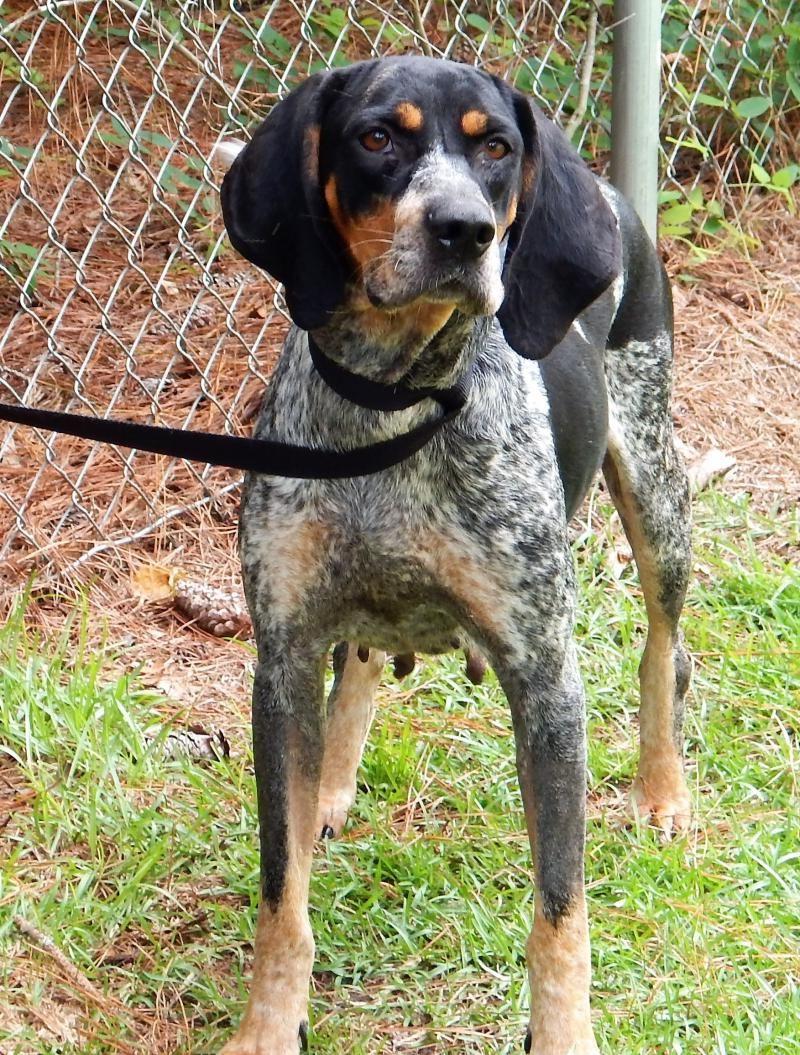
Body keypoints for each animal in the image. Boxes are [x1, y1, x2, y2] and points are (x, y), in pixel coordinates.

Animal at [219, 55, 696, 1055]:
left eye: (496, 147)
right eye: (376, 137)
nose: (466, 230)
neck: (391, 408)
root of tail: (607, 189)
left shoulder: (546, 682)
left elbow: (561, 914)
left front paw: (565, 1037)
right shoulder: (281, 662)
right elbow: (283, 899)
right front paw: (266, 1029)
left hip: (657, 490)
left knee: (664, 647)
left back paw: (663, 790)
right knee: (362, 659)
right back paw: (333, 785)